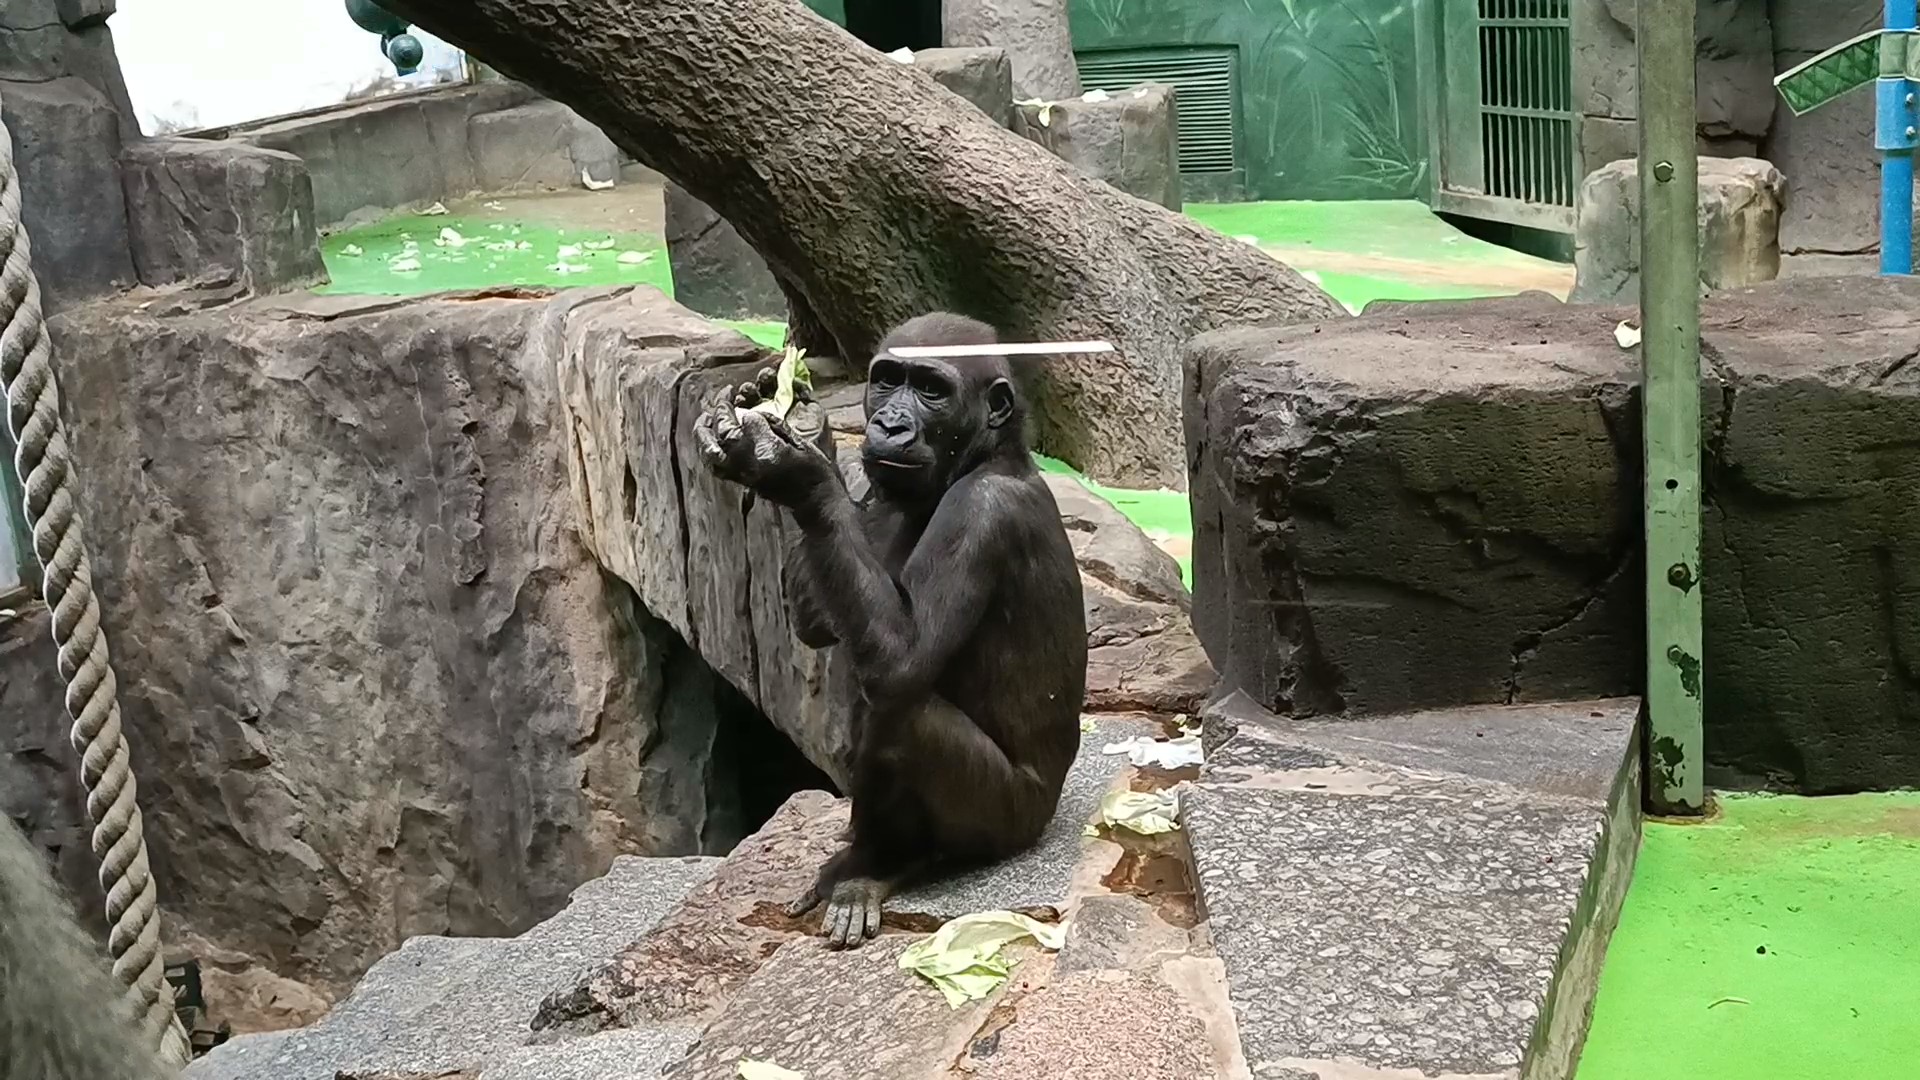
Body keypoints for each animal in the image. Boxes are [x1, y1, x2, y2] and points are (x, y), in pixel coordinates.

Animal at [695, 309, 1090, 941]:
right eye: (886, 380)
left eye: (931, 389)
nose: (889, 424)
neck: (988, 455)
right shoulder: (878, 497)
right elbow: (823, 621)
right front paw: (807, 429)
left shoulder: (983, 514)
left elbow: (902, 659)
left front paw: (792, 469)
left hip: (1015, 821)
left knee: (899, 714)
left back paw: (887, 864)